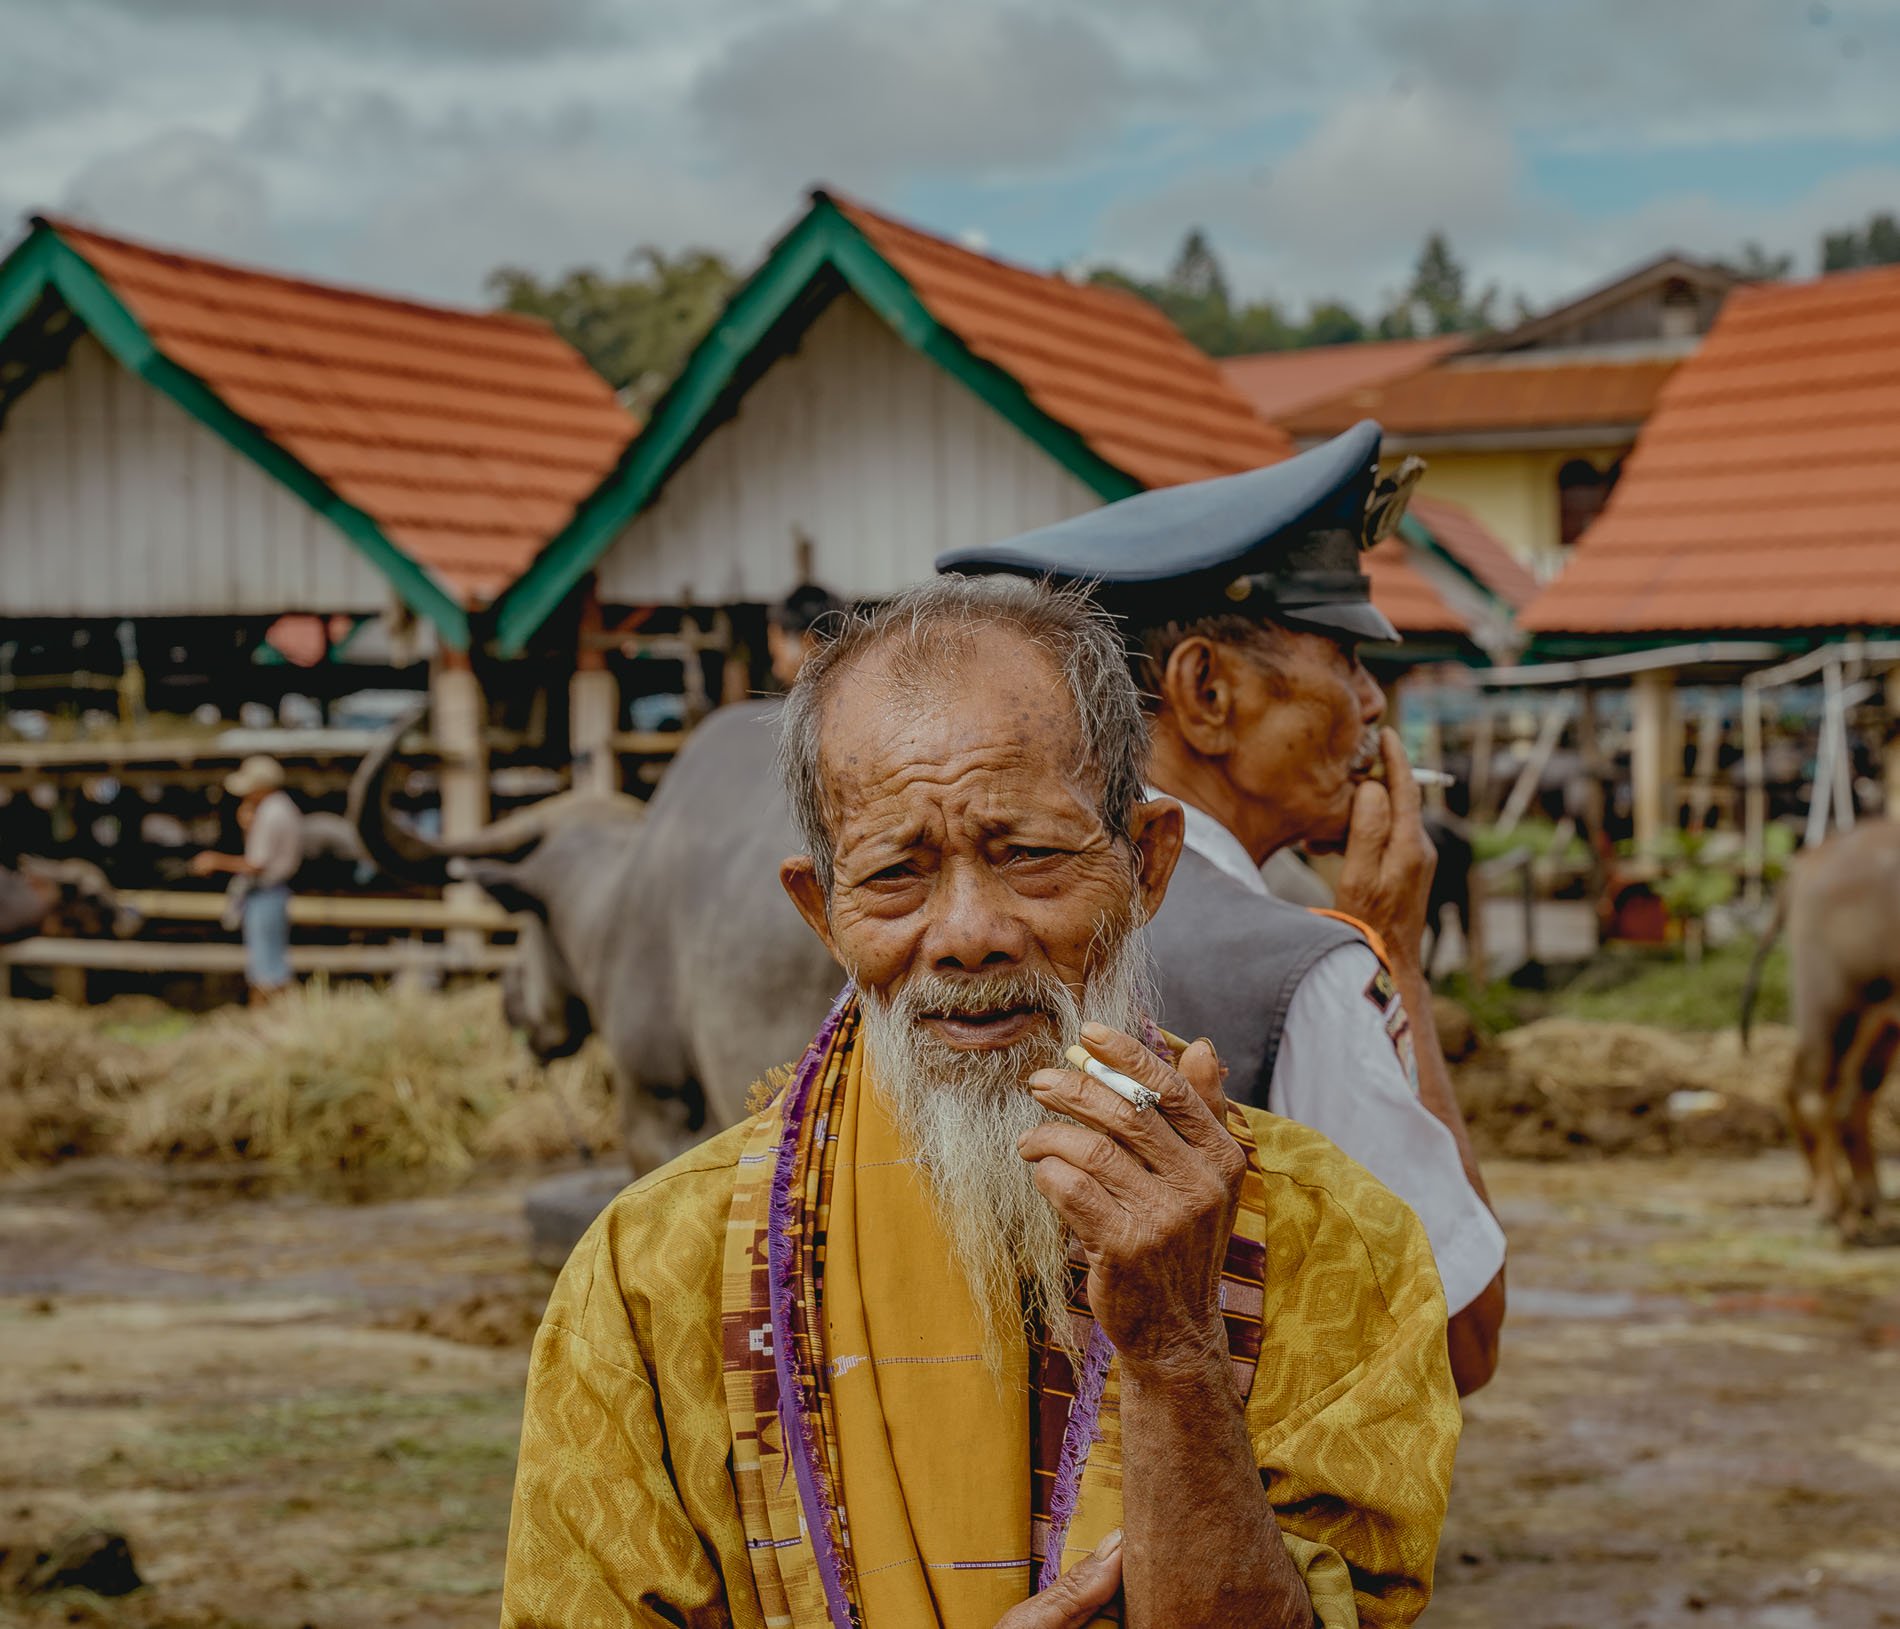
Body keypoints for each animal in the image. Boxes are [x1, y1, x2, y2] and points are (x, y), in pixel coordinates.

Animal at [1740, 821, 1900, 1239]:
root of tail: (1809, 860)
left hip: (1879, 1022)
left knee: (1849, 1099)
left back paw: (1868, 1205)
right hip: (1834, 1005)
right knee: (1816, 1095)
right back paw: (1839, 1212)